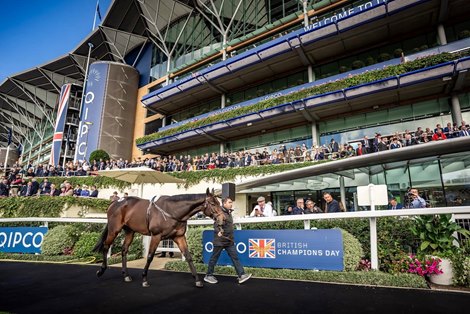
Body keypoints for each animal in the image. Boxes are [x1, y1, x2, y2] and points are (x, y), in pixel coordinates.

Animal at [93, 188, 224, 288]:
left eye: (219, 203)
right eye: (213, 204)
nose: (223, 219)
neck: (172, 211)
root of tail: (115, 202)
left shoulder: (179, 237)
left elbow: (188, 256)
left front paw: (197, 280)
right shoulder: (156, 236)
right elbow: (150, 256)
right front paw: (144, 279)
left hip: (130, 231)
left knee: (124, 249)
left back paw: (126, 275)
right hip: (114, 230)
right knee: (106, 246)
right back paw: (101, 270)